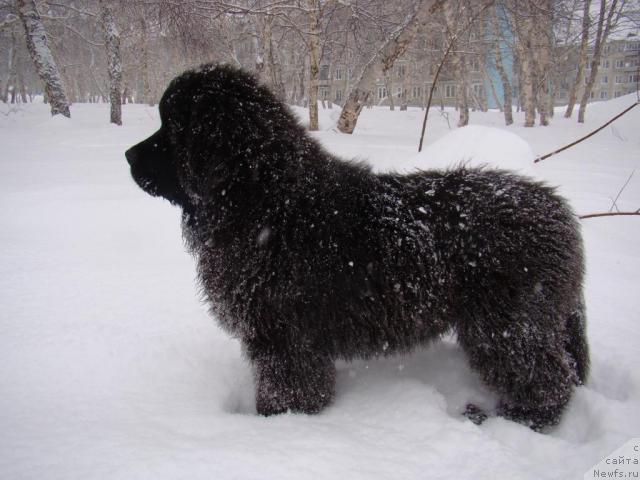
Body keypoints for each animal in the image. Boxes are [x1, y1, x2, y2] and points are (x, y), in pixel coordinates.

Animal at [126, 63, 592, 432]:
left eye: (173, 127)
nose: (128, 155)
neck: (266, 202)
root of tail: (560, 210)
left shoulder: (283, 334)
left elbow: (286, 388)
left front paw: (279, 427)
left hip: (508, 323)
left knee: (546, 378)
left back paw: (517, 419)